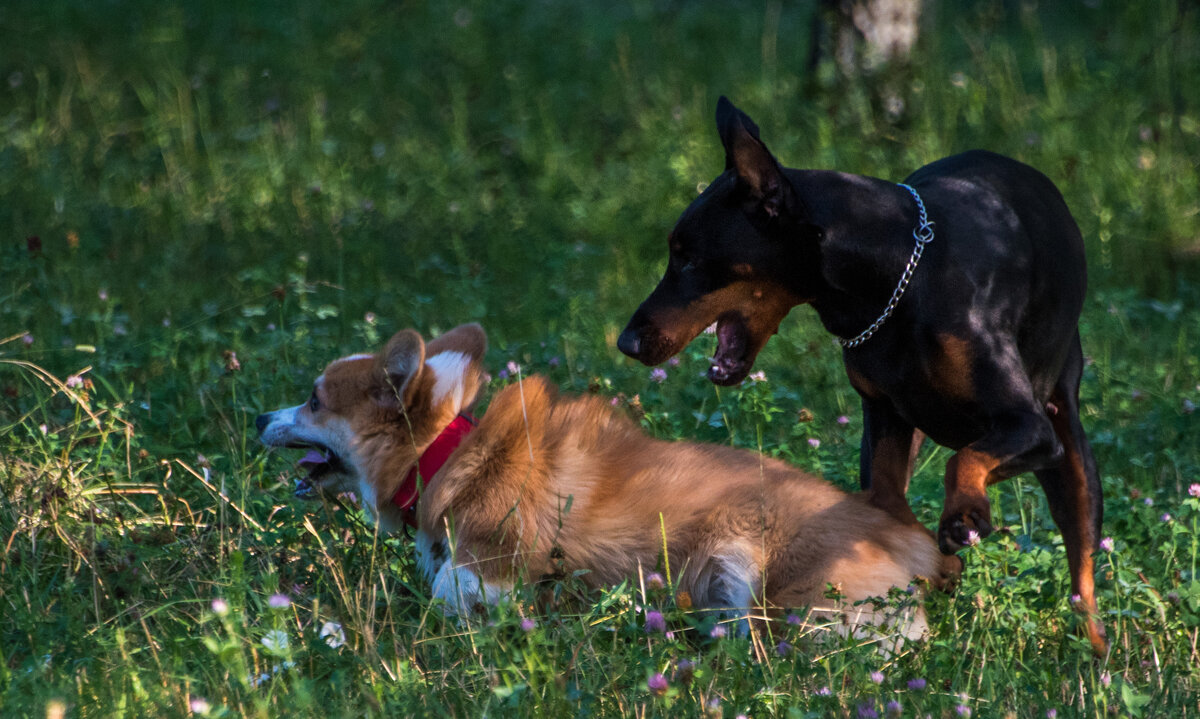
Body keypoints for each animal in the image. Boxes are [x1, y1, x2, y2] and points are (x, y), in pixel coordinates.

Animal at [258, 324, 960, 638]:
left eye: (314, 401)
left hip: (759, 575)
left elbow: (436, 597)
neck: (443, 458)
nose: (261, 417)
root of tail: (920, 545)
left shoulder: (483, 581)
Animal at [619, 95, 1104, 652]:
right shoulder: (884, 420)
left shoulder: (1028, 426)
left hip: (1068, 444)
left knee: (1083, 572)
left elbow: (962, 460)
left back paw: (1096, 652)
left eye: (688, 257)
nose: (626, 342)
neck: (901, 278)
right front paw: (935, 560)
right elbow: (888, 503)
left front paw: (964, 515)